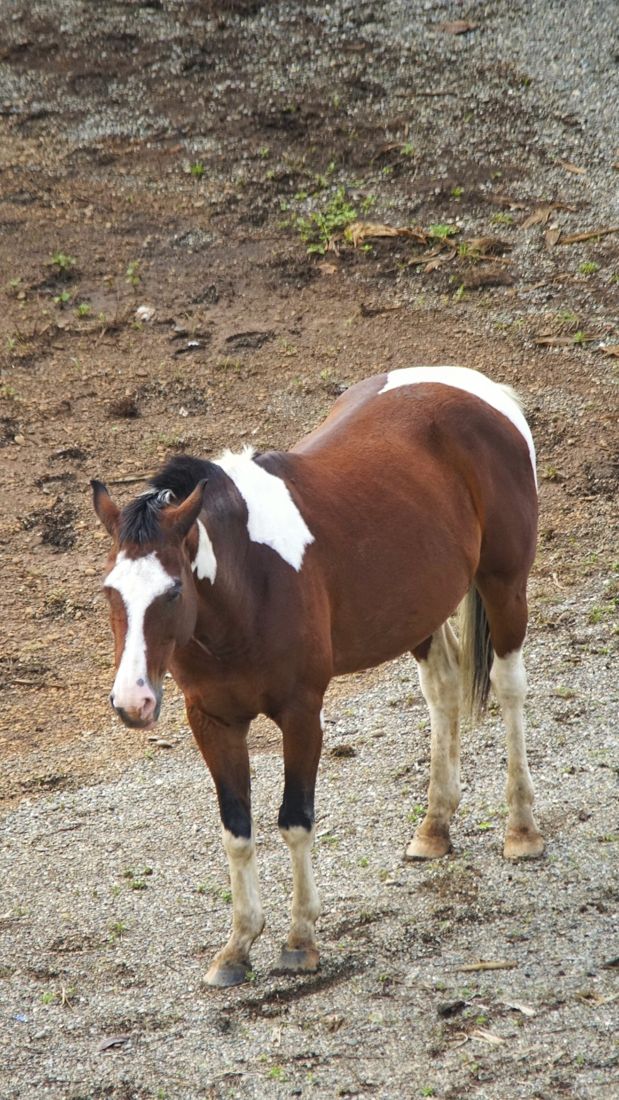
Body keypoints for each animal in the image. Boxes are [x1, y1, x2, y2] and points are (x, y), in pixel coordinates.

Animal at [92, 365, 543, 988]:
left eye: (174, 590)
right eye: (110, 592)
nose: (132, 701)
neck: (248, 583)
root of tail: (479, 388)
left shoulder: (302, 713)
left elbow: (295, 820)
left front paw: (300, 940)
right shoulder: (212, 721)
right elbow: (237, 829)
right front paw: (236, 947)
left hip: (504, 585)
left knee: (509, 688)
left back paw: (521, 830)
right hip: (419, 609)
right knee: (443, 689)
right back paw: (433, 829)